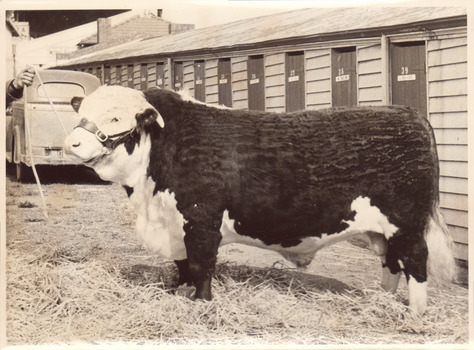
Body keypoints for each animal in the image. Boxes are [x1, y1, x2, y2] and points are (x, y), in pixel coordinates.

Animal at [64, 85, 456, 314]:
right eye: (80, 113)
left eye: (115, 117)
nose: (72, 142)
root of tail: (408, 113)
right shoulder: (173, 223)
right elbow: (183, 265)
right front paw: (180, 293)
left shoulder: (201, 219)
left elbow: (201, 264)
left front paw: (202, 303)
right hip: (384, 230)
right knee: (391, 262)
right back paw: (382, 300)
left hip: (407, 223)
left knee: (415, 262)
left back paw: (415, 314)